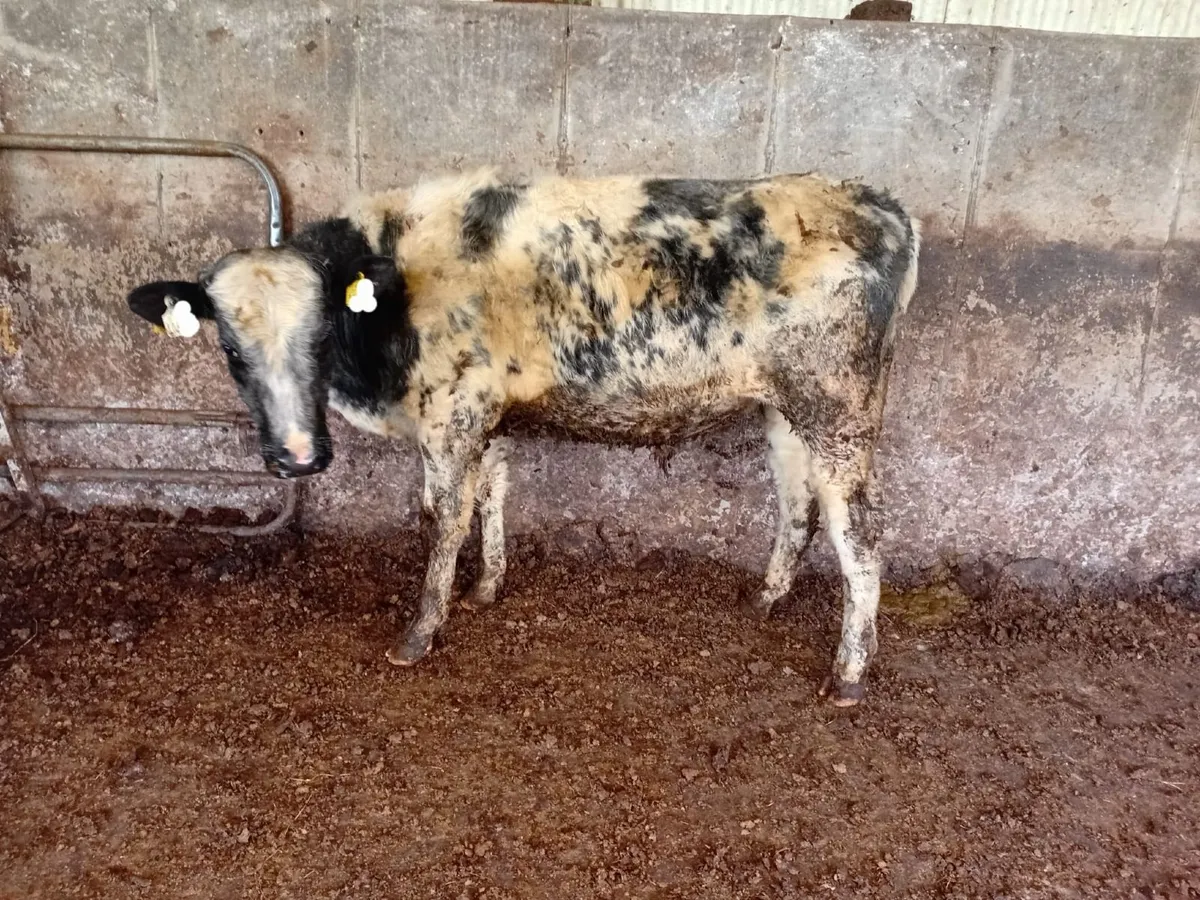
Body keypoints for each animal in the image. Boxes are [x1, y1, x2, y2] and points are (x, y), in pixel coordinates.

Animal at [127, 168, 920, 706]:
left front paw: (421, 630)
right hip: (785, 410)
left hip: (840, 410)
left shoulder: (452, 414)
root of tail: (872, 200)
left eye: (321, 330)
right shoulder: (490, 413)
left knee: (861, 537)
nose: (297, 456)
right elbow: (493, 491)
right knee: (797, 506)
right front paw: (487, 585)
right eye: (231, 349)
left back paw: (849, 673)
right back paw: (768, 598)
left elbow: (443, 517)